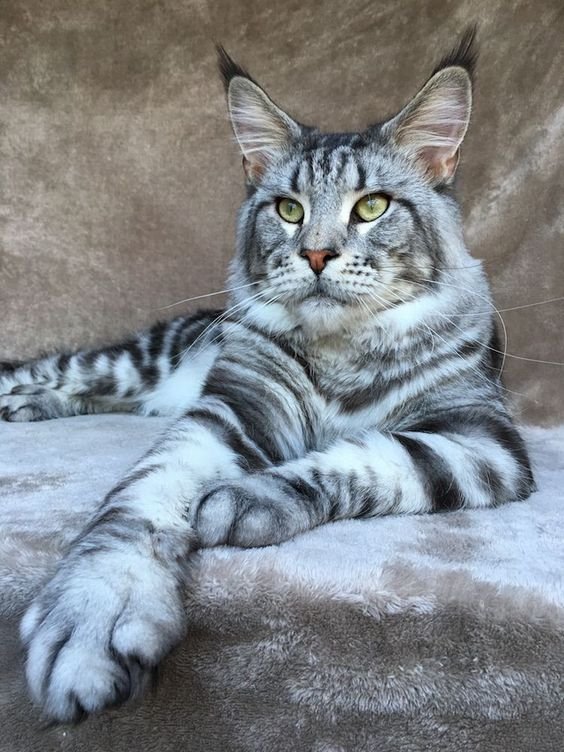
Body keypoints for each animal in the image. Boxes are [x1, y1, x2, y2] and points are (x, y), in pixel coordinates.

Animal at [2, 29, 536, 724]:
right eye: (288, 209)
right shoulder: (232, 409)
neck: (342, 353)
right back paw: (22, 401)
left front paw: (249, 498)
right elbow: (140, 498)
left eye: (372, 206)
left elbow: (369, 457)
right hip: (132, 363)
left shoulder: (481, 440)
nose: (316, 254)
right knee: (53, 373)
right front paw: (96, 609)